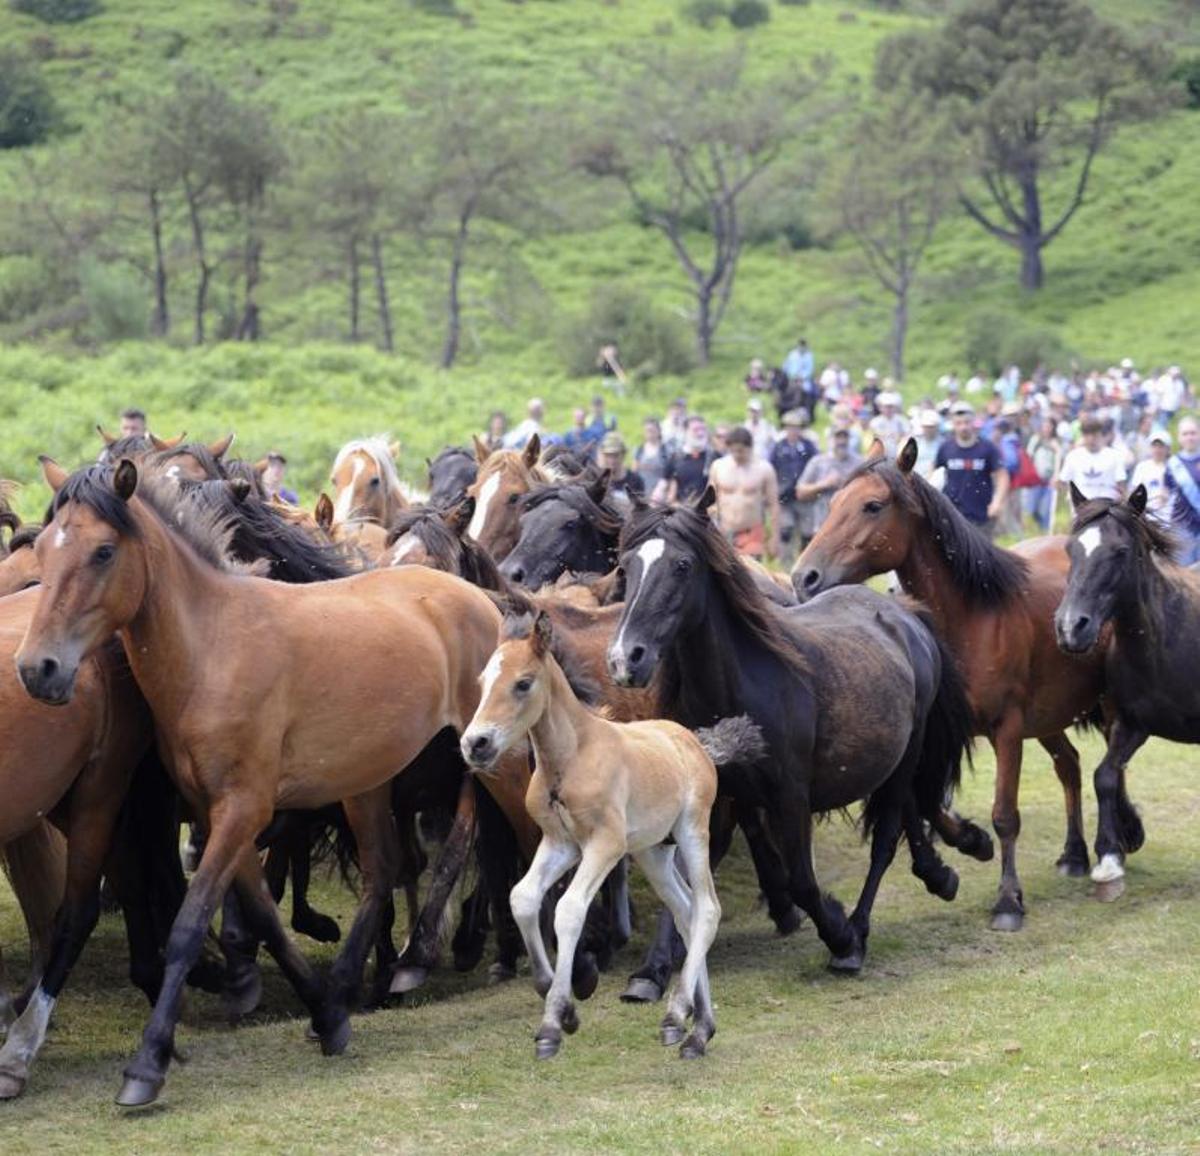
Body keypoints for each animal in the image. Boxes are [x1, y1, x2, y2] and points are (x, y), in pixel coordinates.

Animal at [15, 456, 535, 1109]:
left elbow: (188, 926)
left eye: (103, 552)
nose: (38, 670)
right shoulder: (216, 814)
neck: (213, 648)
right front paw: (325, 1017)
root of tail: (480, 599)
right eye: (43, 550)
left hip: (497, 762)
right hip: (367, 780)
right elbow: (262, 914)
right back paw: (356, 984)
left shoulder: (244, 810)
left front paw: (147, 1065)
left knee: (532, 838)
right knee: (385, 871)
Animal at [458, 614, 758, 1056]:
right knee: (685, 912)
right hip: (654, 852)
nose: (475, 744)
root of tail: (697, 743)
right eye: (481, 682)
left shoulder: (605, 845)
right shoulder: (560, 843)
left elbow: (568, 910)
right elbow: (523, 898)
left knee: (706, 909)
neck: (570, 760)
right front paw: (559, 1001)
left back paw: (676, 1015)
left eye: (523, 683)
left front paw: (554, 1022)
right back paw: (698, 1030)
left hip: (692, 832)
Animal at [609, 482, 974, 979]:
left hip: (906, 755)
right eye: (625, 566)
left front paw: (839, 933)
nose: (626, 659)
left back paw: (859, 933)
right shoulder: (714, 796)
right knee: (911, 812)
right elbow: (685, 874)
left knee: (885, 840)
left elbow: (802, 881)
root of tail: (903, 614)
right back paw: (942, 873)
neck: (739, 691)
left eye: (682, 566)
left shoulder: (790, 796)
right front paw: (651, 970)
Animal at [792, 441, 1108, 931]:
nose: (804, 577)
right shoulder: (937, 734)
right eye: (832, 503)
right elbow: (927, 804)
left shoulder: (1007, 730)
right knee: (1070, 766)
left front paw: (1008, 900)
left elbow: (1005, 815)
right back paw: (1073, 856)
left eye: (872, 505)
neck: (975, 617)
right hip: (1048, 718)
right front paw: (970, 842)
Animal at [1056, 480, 1185, 888]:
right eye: (1070, 549)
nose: (1071, 627)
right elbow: (1106, 775)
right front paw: (1109, 856)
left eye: (1121, 551)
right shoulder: (1131, 724)